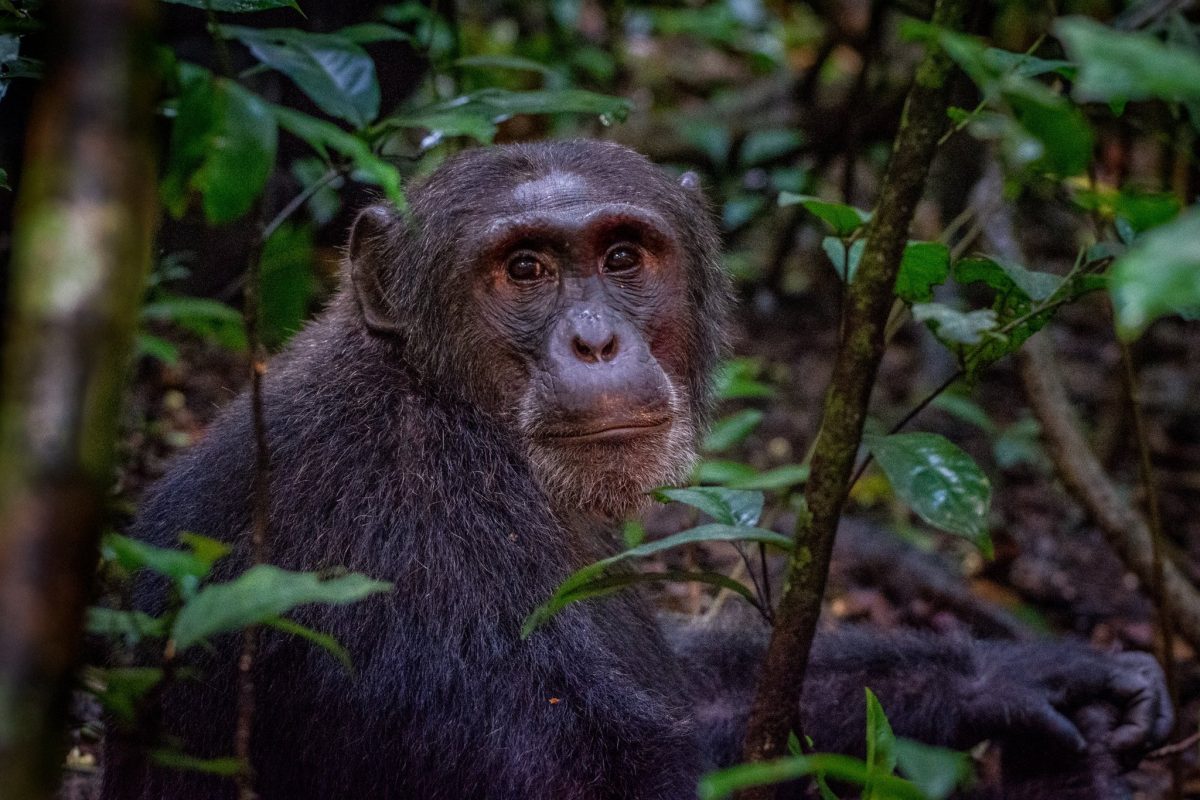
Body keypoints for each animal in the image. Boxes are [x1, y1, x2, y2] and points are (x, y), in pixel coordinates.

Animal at [102, 140, 1171, 800]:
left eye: (622, 257)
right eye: (525, 270)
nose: (595, 340)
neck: (442, 399)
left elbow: (705, 693)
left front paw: (1022, 676)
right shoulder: (409, 538)